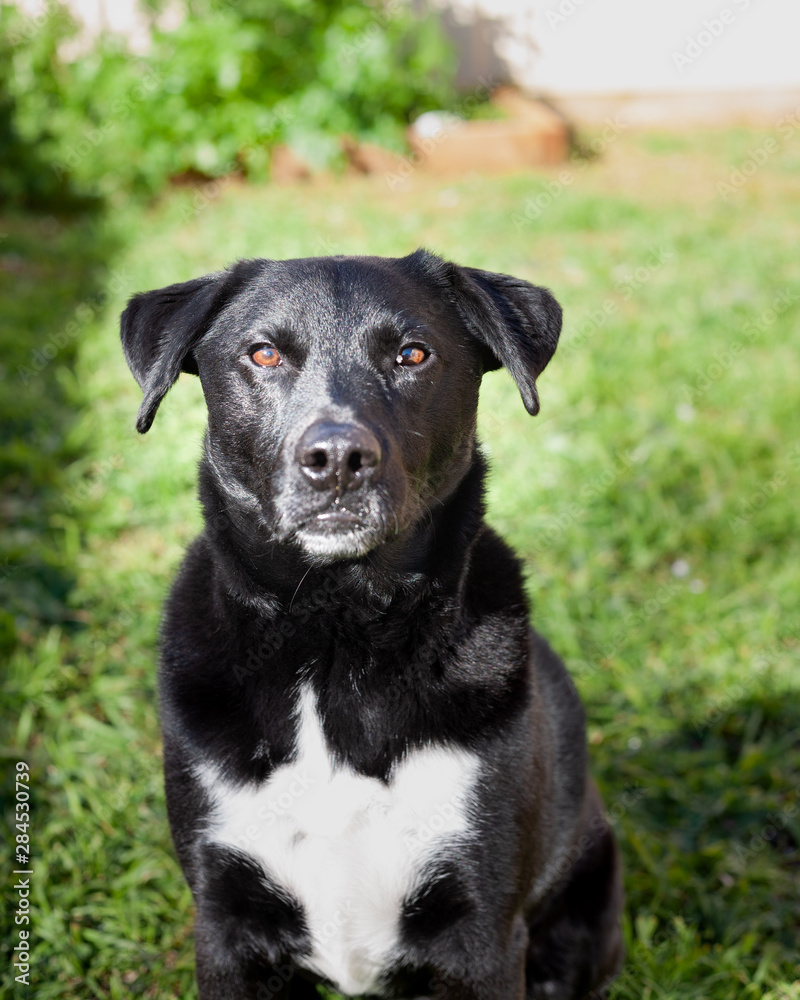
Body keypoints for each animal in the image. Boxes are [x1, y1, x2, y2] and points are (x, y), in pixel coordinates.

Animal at [120, 252, 624, 1000]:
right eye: (263, 353)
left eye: (412, 354)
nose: (337, 460)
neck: (336, 635)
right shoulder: (226, 925)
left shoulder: (484, 933)